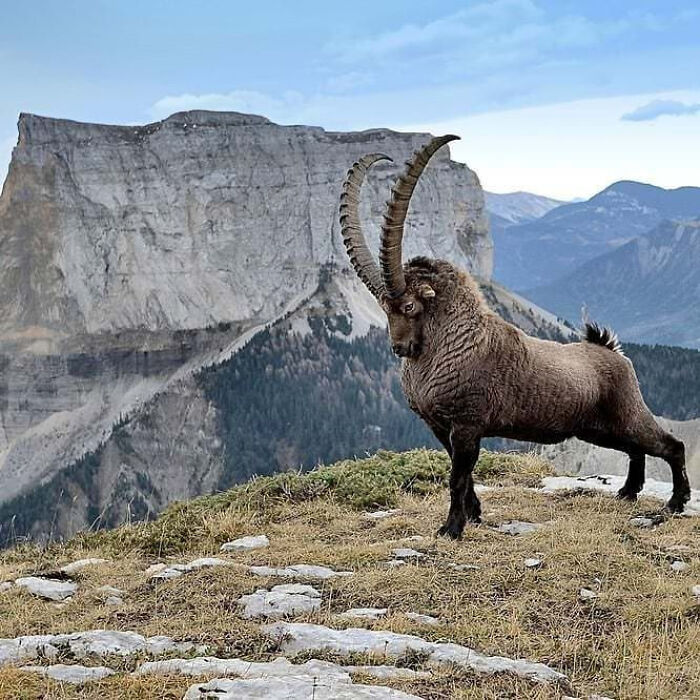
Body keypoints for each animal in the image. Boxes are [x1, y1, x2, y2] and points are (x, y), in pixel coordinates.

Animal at [339, 136, 691, 539]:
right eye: (383, 307)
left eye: (410, 305)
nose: (400, 348)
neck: (453, 345)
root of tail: (613, 352)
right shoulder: (442, 428)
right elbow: (464, 476)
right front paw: (474, 515)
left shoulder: (467, 424)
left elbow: (457, 478)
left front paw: (452, 530)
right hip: (598, 429)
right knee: (635, 448)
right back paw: (628, 492)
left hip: (626, 413)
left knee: (670, 445)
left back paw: (675, 502)